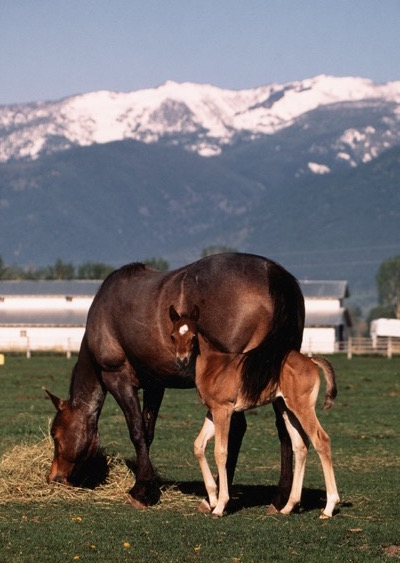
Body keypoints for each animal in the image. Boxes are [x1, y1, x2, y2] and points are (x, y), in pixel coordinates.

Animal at [46, 253, 304, 508]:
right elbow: (148, 432)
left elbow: (136, 430)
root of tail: (272, 272)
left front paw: (142, 491)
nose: (53, 478)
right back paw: (280, 497)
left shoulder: (118, 379)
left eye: (55, 434)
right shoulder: (155, 384)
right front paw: (148, 484)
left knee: (238, 429)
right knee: (284, 427)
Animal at [169, 308, 340, 520]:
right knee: (300, 446)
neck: (213, 366)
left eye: (193, 336)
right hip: (286, 409)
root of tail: (310, 359)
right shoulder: (212, 411)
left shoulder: (223, 411)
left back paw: (329, 507)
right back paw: (288, 506)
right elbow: (198, 446)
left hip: (302, 407)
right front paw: (212, 499)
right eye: (173, 336)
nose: (182, 360)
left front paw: (220, 506)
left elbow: (220, 452)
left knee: (321, 440)